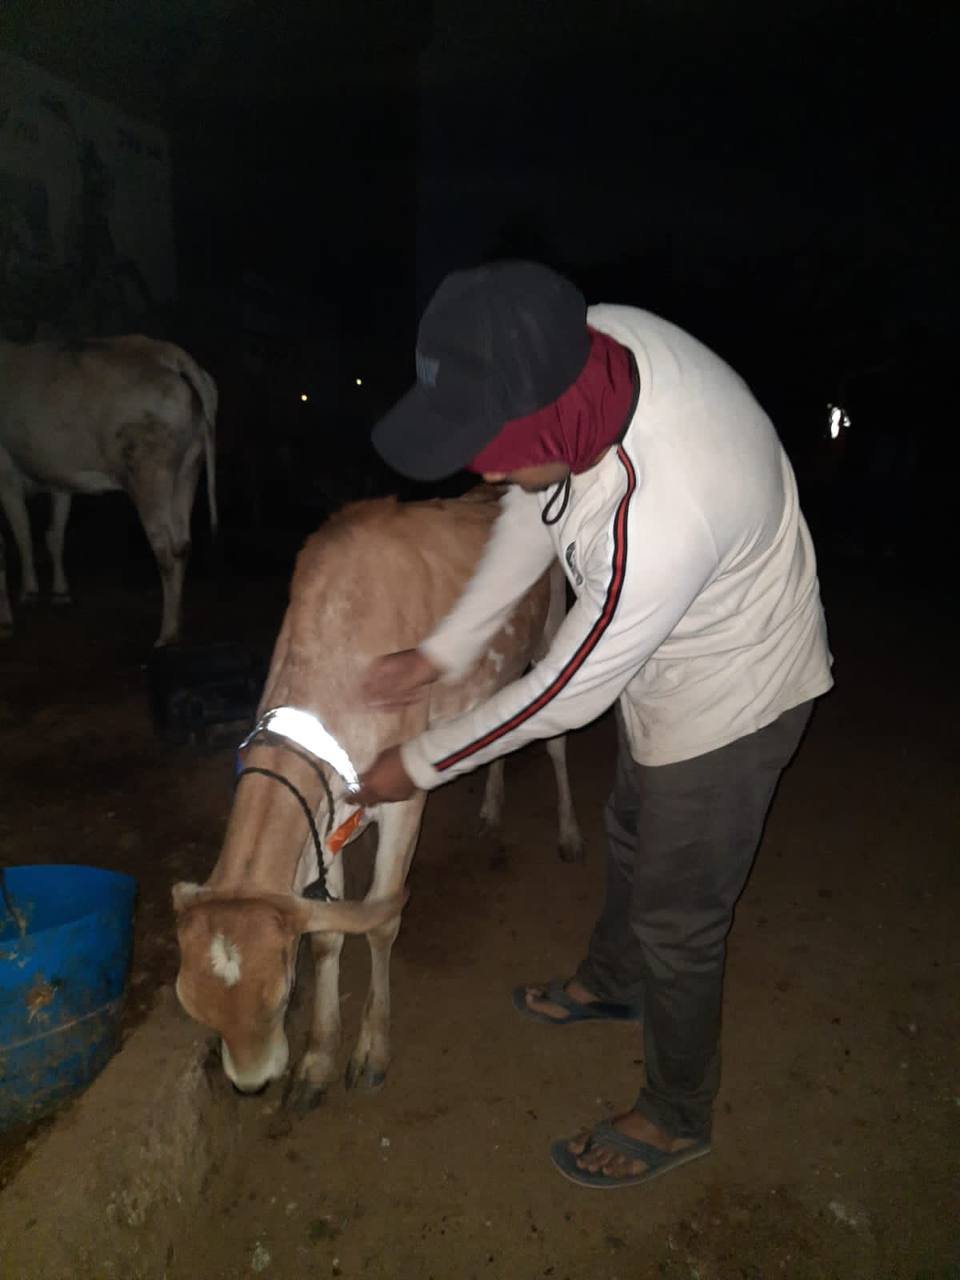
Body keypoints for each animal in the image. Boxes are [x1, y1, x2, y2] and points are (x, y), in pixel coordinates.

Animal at [0, 335, 217, 646]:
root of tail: (168, 354)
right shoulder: (61, 476)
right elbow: (55, 534)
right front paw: (60, 592)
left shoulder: (6, 472)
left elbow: (24, 535)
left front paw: (28, 593)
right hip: (189, 468)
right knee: (182, 545)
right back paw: (178, 626)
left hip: (149, 474)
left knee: (165, 550)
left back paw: (166, 634)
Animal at [172, 490, 583, 1108]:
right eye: (193, 1007)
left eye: (279, 995)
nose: (250, 1084)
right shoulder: (325, 814)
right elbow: (328, 934)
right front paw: (317, 1061)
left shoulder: (404, 798)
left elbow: (382, 918)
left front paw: (370, 1052)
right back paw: (490, 809)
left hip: (551, 633)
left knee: (556, 743)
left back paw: (568, 832)